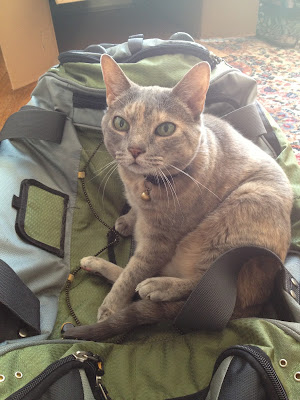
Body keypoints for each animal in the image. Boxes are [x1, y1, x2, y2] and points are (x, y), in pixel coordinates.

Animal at [63, 53, 292, 340]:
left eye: (165, 129)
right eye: (120, 123)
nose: (135, 149)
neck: (143, 184)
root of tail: (250, 307)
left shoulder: (160, 241)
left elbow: (133, 273)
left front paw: (111, 307)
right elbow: (132, 253)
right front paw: (127, 220)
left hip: (234, 219)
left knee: (199, 285)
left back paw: (158, 286)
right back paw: (97, 264)